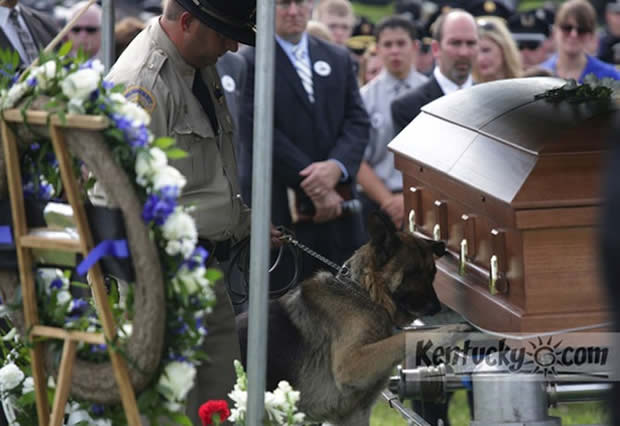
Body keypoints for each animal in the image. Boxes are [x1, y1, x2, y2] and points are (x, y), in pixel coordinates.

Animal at [235, 215, 448, 424]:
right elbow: (402, 337)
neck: (365, 293)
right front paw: (448, 331)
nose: (437, 307)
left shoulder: (354, 414)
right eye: (413, 273)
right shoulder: (351, 364)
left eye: (433, 273)